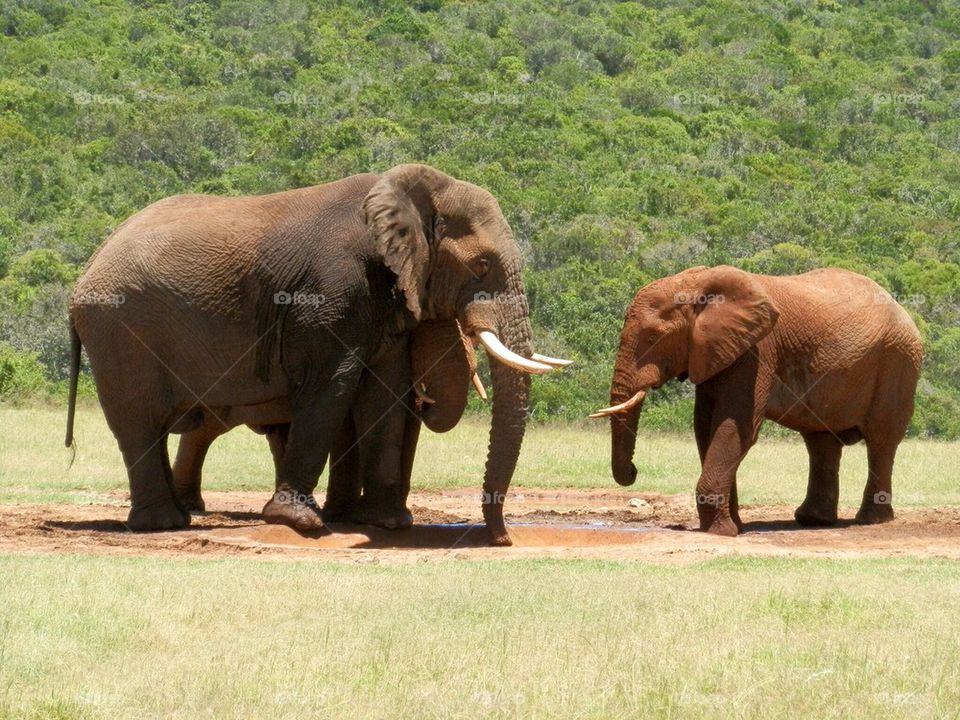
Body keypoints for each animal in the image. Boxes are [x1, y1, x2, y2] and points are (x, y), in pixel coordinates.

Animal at [65, 164, 570, 545]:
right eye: (481, 265)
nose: (502, 539)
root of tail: (87, 270)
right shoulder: (331, 289)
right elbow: (333, 384)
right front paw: (300, 522)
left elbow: (383, 391)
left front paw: (386, 523)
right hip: (119, 329)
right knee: (139, 421)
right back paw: (164, 524)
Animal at [591, 265, 923, 537]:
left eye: (651, 338)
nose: (634, 471)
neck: (698, 284)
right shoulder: (717, 350)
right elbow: (705, 428)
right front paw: (731, 526)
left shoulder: (758, 351)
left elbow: (736, 426)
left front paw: (722, 533)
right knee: (821, 443)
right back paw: (813, 521)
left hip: (899, 362)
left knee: (881, 441)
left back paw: (871, 520)